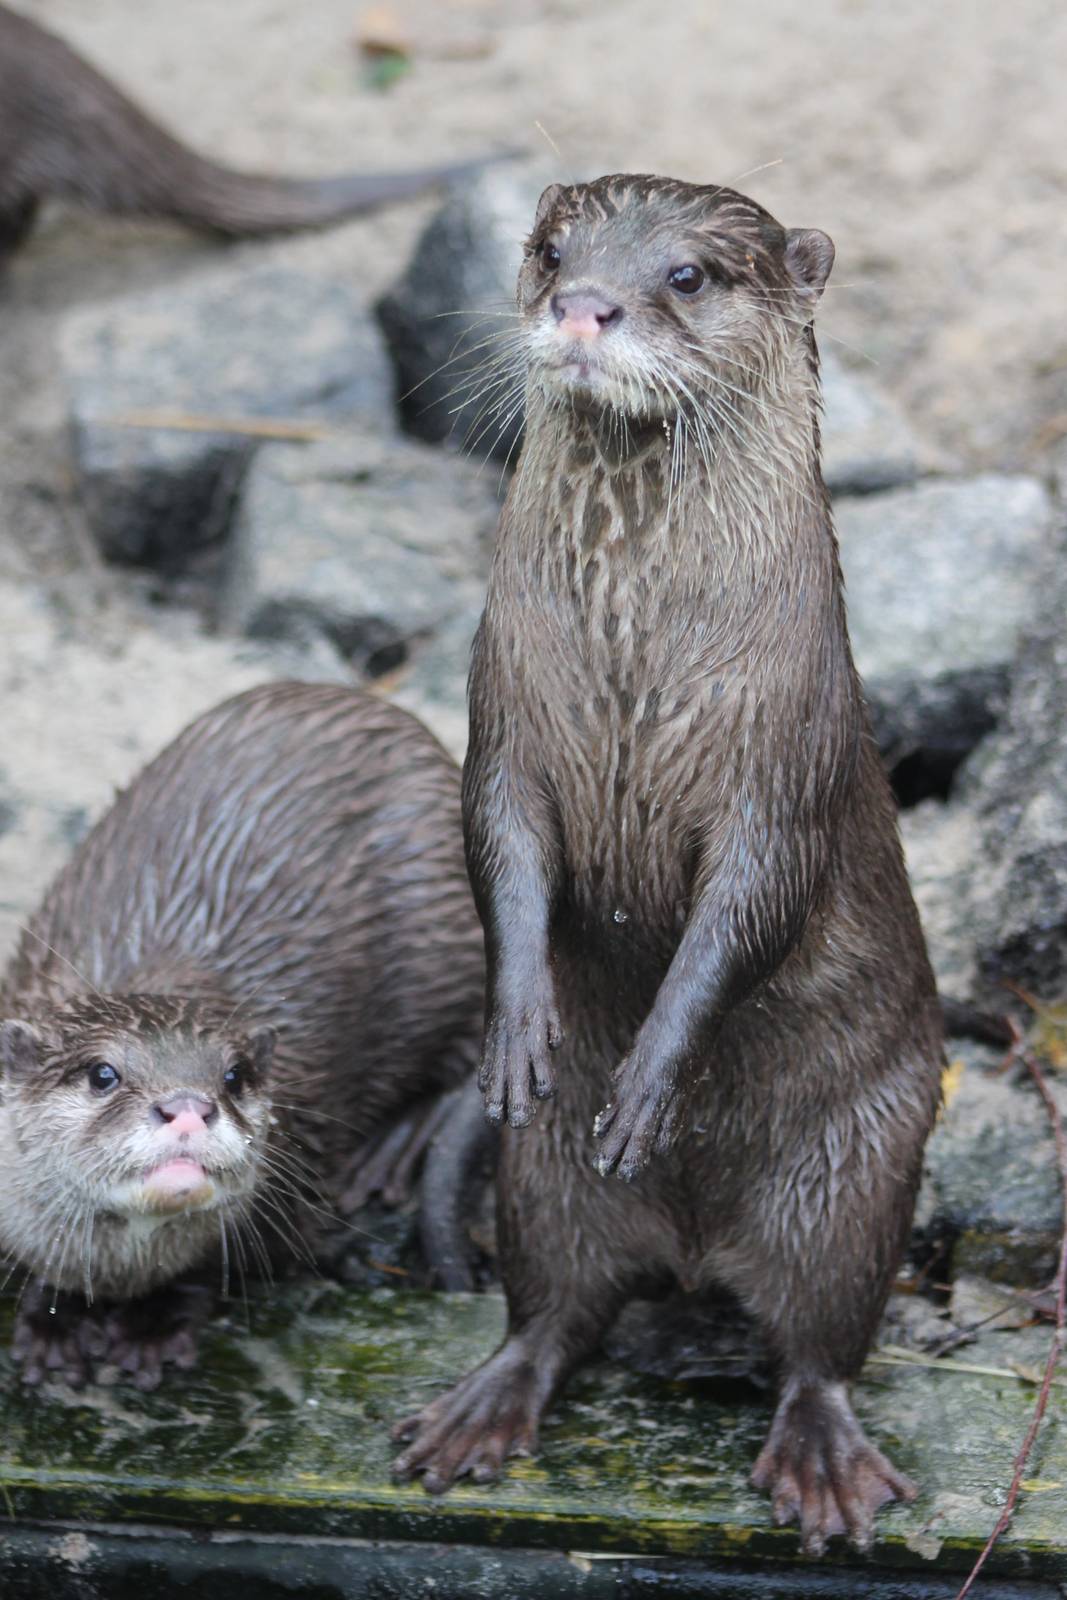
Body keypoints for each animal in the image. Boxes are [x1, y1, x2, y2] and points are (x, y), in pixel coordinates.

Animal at [0, 682, 483, 1388]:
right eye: (102, 1074)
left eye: (232, 1077)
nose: (188, 1107)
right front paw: (50, 1323)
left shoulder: (291, 1176)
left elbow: (227, 1268)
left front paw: (151, 1329)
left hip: (447, 929)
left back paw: (392, 1149)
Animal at [393, 174, 944, 1555]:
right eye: (549, 250)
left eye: (688, 274)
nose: (586, 306)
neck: (635, 659)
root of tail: (695, 1250)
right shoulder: (505, 719)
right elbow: (499, 850)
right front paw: (519, 1023)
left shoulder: (779, 766)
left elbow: (745, 908)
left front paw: (650, 1078)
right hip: (542, 1185)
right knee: (553, 1311)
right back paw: (480, 1408)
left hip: (857, 1174)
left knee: (820, 1340)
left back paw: (820, 1460)